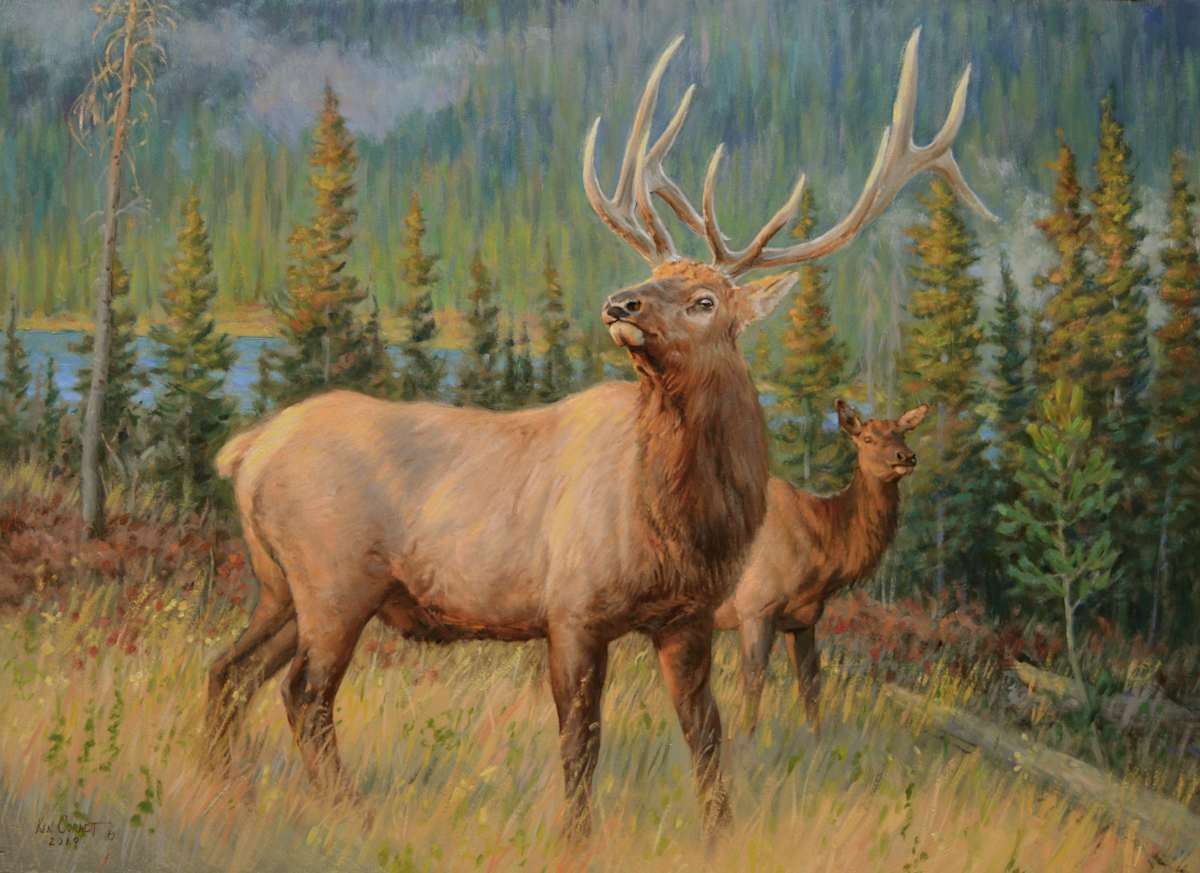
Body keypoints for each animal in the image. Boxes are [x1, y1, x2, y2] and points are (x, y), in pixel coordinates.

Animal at [715, 400, 931, 732]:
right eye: (867, 438)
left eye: (902, 433)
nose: (905, 456)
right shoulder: (754, 608)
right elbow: (753, 688)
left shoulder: (803, 620)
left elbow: (811, 689)